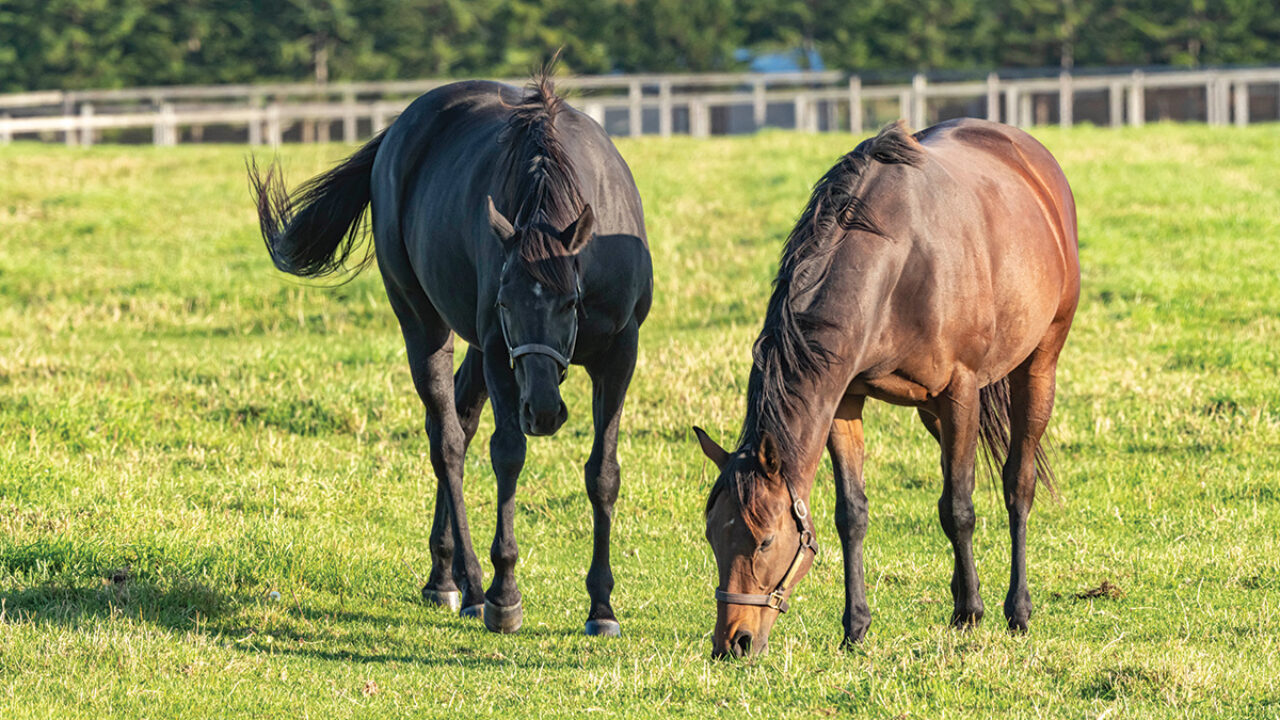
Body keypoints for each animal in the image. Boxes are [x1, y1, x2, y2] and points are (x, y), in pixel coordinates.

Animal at [248, 71, 650, 632]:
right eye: (505, 303)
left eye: (571, 301)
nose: (543, 410)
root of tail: (398, 130)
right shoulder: (502, 353)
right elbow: (508, 454)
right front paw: (505, 593)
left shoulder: (619, 353)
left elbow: (603, 473)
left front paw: (602, 605)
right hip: (424, 324)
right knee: (448, 441)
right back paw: (468, 584)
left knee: (462, 414)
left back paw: (445, 574)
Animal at [701, 119, 1080, 655]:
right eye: (713, 536)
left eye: (766, 540)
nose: (732, 642)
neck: (899, 264)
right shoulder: (846, 400)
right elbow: (852, 514)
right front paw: (856, 626)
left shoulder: (961, 390)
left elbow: (959, 508)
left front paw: (970, 612)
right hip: (932, 413)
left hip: (1038, 367)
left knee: (1017, 483)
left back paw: (1016, 609)